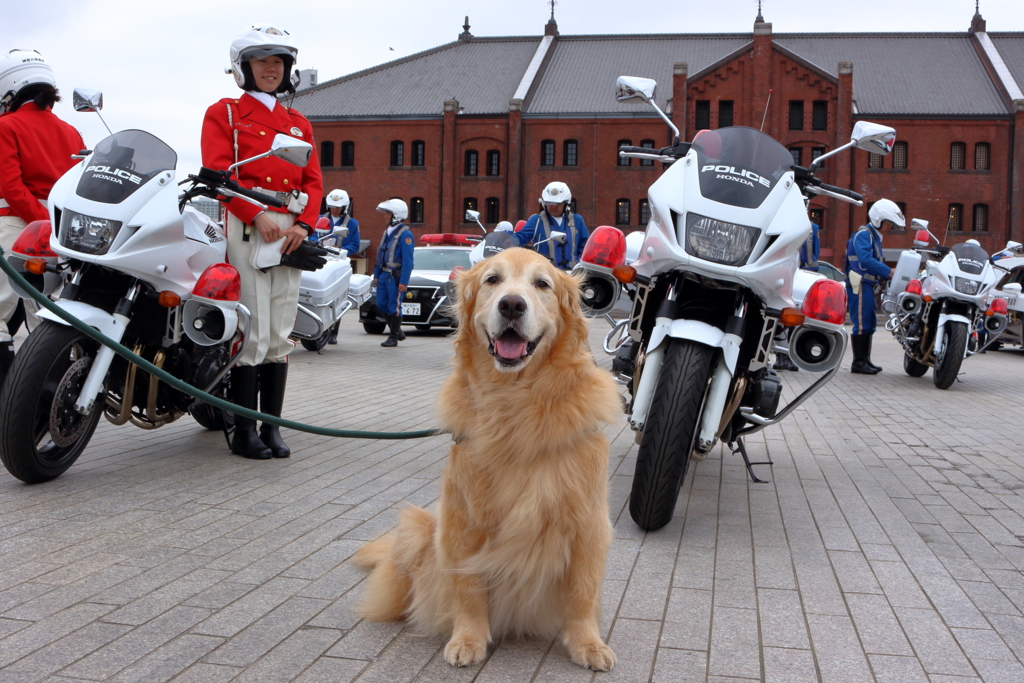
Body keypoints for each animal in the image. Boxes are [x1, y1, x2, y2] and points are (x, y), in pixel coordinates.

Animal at [352, 248, 618, 671]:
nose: (512, 305)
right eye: (492, 279)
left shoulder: (588, 523)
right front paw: (468, 638)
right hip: (417, 527)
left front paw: (588, 644)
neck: (516, 404)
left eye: (542, 284)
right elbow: (468, 586)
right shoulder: (464, 519)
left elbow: (583, 591)